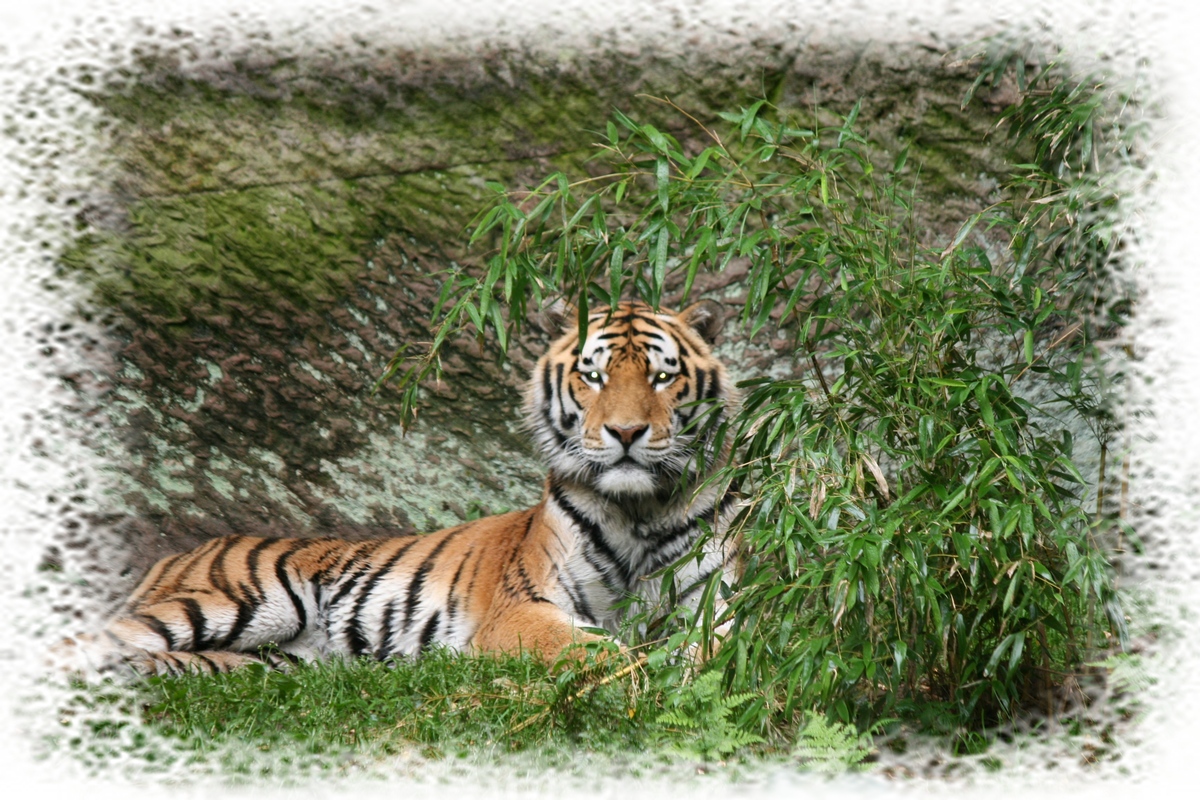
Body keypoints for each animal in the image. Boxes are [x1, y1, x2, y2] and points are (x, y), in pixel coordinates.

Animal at [64, 300, 741, 676]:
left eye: (661, 377)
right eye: (593, 376)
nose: (625, 432)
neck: (638, 509)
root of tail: (176, 554)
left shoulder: (720, 604)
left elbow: (719, 651)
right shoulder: (523, 608)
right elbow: (593, 650)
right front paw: (639, 674)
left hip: (275, 656)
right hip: (239, 600)